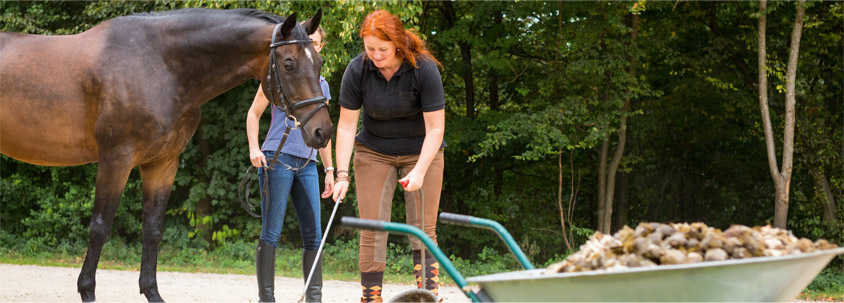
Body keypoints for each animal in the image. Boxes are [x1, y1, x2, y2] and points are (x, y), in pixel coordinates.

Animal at [0, 8, 332, 302]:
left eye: (318, 62)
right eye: (288, 64)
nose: (323, 131)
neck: (161, 65)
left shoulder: (162, 164)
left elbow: (153, 230)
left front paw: (152, 292)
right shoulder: (116, 160)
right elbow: (100, 228)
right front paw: (87, 292)